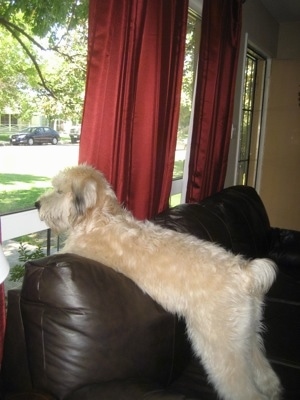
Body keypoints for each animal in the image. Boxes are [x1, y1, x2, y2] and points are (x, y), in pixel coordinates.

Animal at [35, 164, 282, 398]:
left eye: (59, 190)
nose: (37, 204)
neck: (101, 216)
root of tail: (246, 275)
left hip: (221, 344)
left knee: (243, 389)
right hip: (247, 335)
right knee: (264, 372)